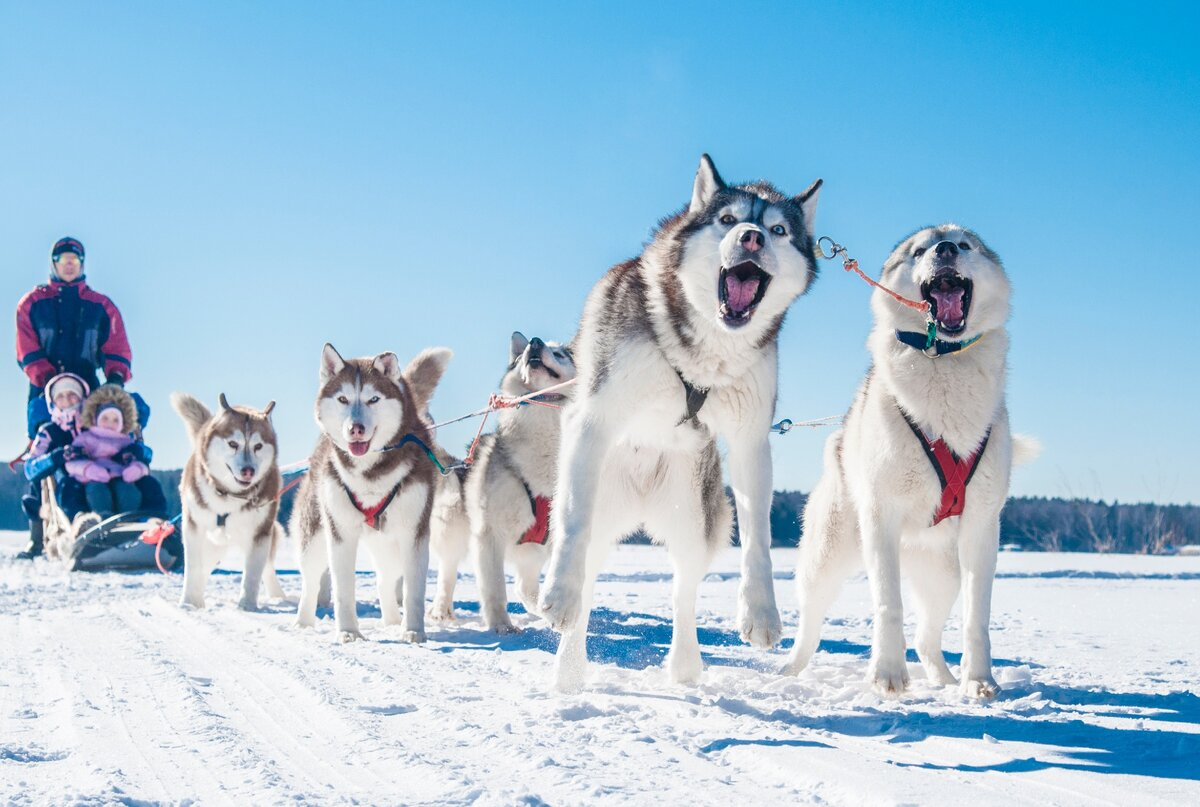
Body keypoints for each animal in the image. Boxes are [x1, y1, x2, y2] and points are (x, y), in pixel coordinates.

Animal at [172, 393, 284, 607]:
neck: (228, 494)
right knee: (202, 569)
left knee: (267, 568)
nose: (248, 471)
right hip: (212, 544)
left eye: (258, 446)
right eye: (233, 444)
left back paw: (278, 596)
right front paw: (189, 603)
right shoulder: (193, 527)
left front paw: (247, 606)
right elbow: (193, 568)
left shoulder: (259, 534)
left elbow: (252, 574)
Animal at [292, 341, 451, 643]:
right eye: (343, 399)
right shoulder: (340, 532)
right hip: (315, 534)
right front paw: (348, 632)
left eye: (373, 399)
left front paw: (413, 630)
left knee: (386, 580)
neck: (370, 475)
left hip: (391, 545)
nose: (355, 429)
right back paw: (303, 623)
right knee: (310, 579)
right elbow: (344, 589)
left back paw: (392, 622)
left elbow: (413, 590)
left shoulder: (415, 533)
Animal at [429, 331, 578, 629]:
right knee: (447, 571)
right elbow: (495, 587)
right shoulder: (489, 534)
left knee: (524, 587)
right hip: (454, 530)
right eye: (520, 358)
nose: (534, 342)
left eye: (560, 354)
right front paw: (501, 626)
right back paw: (441, 610)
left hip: (533, 552)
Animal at [540, 156, 820, 686]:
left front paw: (761, 612)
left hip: (695, 517)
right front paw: (559, 595)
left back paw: (685, 663)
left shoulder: (751, 440)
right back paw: (569, 666)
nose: (752, 238)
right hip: (596, 490)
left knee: (683, 588)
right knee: (585, 564)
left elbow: (759, 539)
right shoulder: (596, 417)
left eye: (778, 230)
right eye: (728, 220)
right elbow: (573, 527)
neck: (704, 353)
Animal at [782, 225, 1027, 701]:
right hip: (828, 555)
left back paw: (945, 679)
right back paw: (790, 668)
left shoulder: (982, 527)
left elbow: (977, 617)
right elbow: (888, 604)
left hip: (944, 575)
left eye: (964, 245)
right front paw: (887, 674)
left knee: (927, 637)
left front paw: (979, 680)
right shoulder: (881, 517)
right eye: (920, 250)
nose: (945, 249)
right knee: (811, 619)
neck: (942, 359)